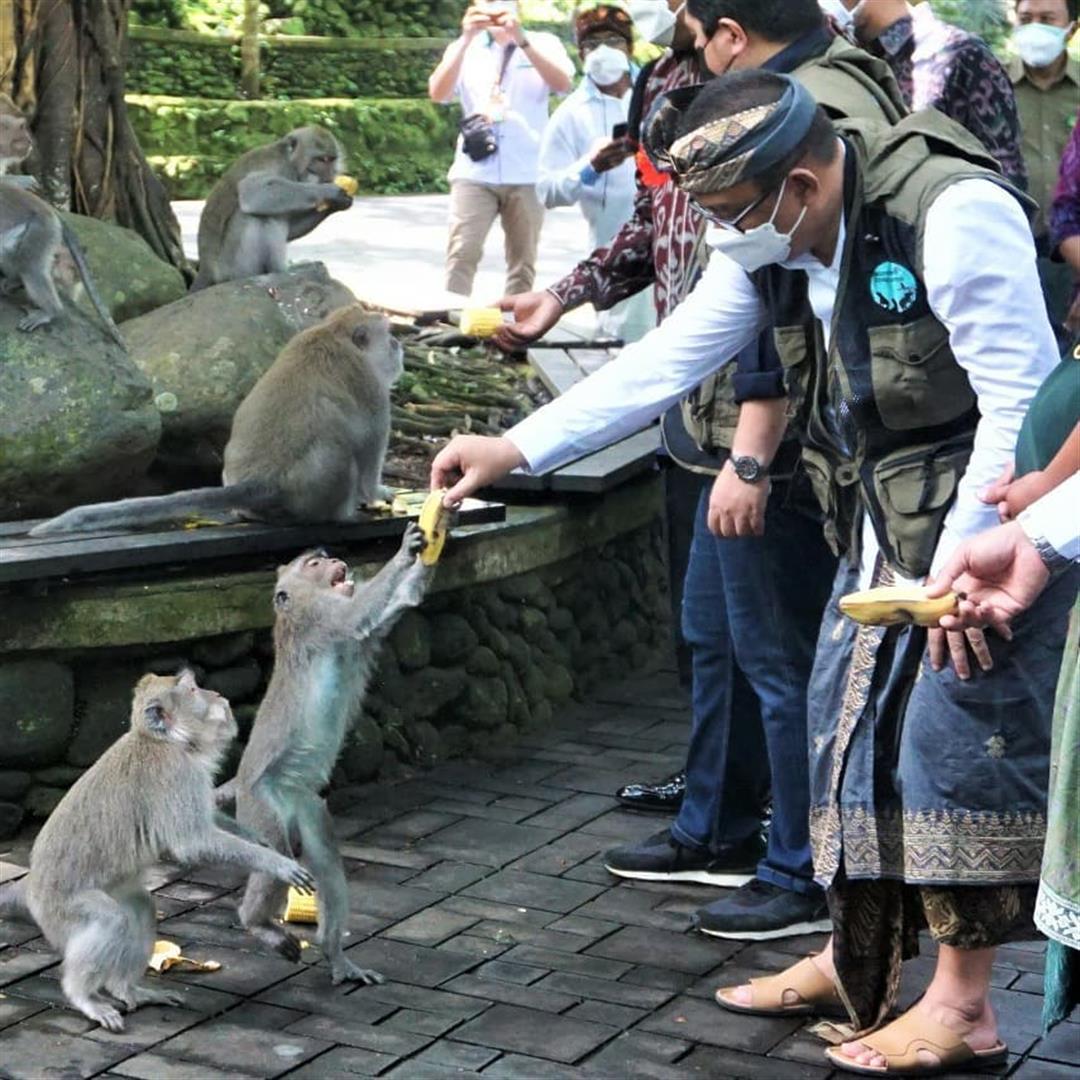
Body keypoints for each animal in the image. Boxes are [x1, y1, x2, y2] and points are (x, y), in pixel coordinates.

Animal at [0, 669, 315, 1032]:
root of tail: (32, 885)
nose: (216, 694)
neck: (166, 742)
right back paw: (84, 997)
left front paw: (260, 842)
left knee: (139, 907)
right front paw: (275, 863)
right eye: (192, 690)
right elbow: (193, 842)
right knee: (110, 920)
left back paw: (126, 988)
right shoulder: (176, 772)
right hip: (60, 908)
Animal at [29, 305, 402, 537]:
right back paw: (343, 514)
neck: (333, 333)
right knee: (345, 452)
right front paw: (377, 491)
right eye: (388, 337)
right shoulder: (373, 393)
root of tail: (261, 483)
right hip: (322, 488)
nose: (399, 345)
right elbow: (372, 445)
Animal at [191, 126, 353, 292]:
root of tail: (206, 270)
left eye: (331, 159)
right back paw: (282, 271)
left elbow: (291, 229)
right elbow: (254, 191)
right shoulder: (279, 168)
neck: (291, 163)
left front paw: (337, 203)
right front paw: (330, 192)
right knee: (257, 216)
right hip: (230, 268)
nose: (329, 175)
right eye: (321, 159)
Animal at [224, 525, 431, 984]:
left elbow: (398, 607)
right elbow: (355, 616)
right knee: (276, 857)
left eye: (325, 557)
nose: (337, 561)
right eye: (314, 564)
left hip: (307, 808)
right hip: (262, 805)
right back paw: (256, 923)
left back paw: (335, 955)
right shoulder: (318, 618)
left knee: (330, 868)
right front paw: (404, 551)